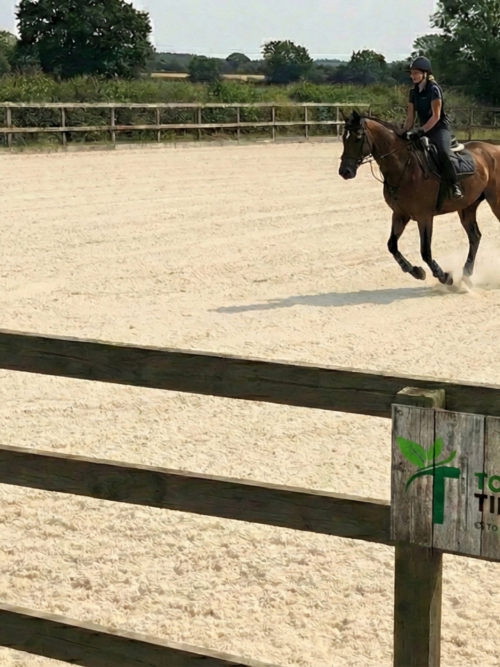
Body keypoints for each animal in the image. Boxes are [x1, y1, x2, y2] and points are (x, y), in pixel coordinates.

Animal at [338, 110, 500, 286]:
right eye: (344, 137)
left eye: (358, 137)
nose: (345, 171)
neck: (404, 166)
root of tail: (494, 148)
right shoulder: (400, 214)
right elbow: (392, 245)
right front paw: (415, 271)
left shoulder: (424, 216)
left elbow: (425, 251)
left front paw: (444, 276)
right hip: (467, 207)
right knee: (474, 237)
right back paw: (465, 276)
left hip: (495, 202)